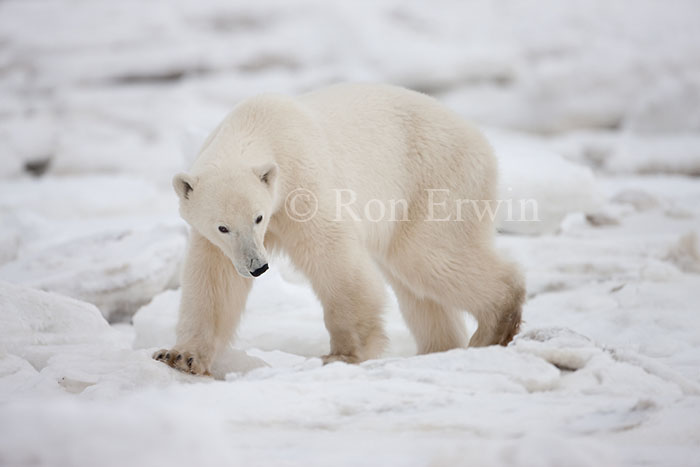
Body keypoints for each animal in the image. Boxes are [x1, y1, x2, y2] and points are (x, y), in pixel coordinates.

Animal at [153, 83, 525, 375]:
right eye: (222, 227)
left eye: (258, 218)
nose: (258, 267)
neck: (258, 126)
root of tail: (482, 141)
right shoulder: (218, 241)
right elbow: (214, 282)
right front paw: (180, 356)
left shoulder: (303, 184)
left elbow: (334, 259)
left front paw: (344, 354)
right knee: (414, 285)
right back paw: (440, 348)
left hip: (436, 179)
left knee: (429, 257)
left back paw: (493, 328)